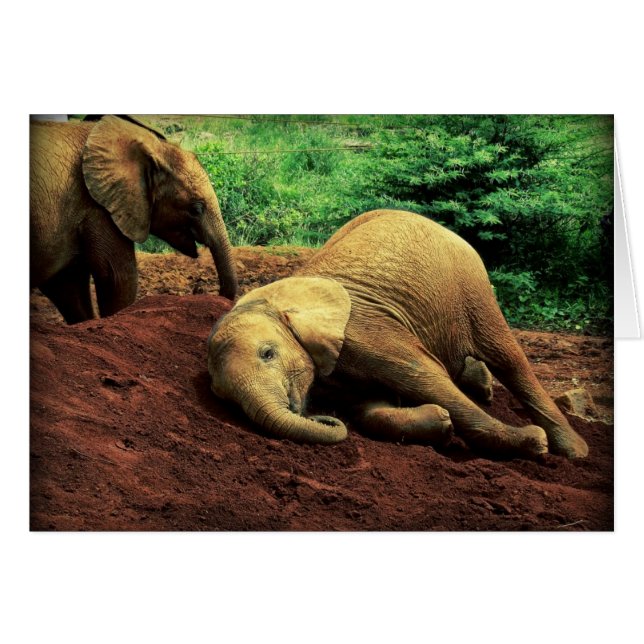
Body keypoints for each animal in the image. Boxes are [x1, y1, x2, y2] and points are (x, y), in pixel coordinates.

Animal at [207, 209, 589, 460]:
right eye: (224, 398)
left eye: (268, 353)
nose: (318, 414)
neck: (280, 297)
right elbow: (370, 408)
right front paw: (440, 422)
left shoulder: (365, 333)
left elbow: (429, 378)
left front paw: (533, 442)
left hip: (472, 285)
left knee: (508, 358)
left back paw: (573, 450)